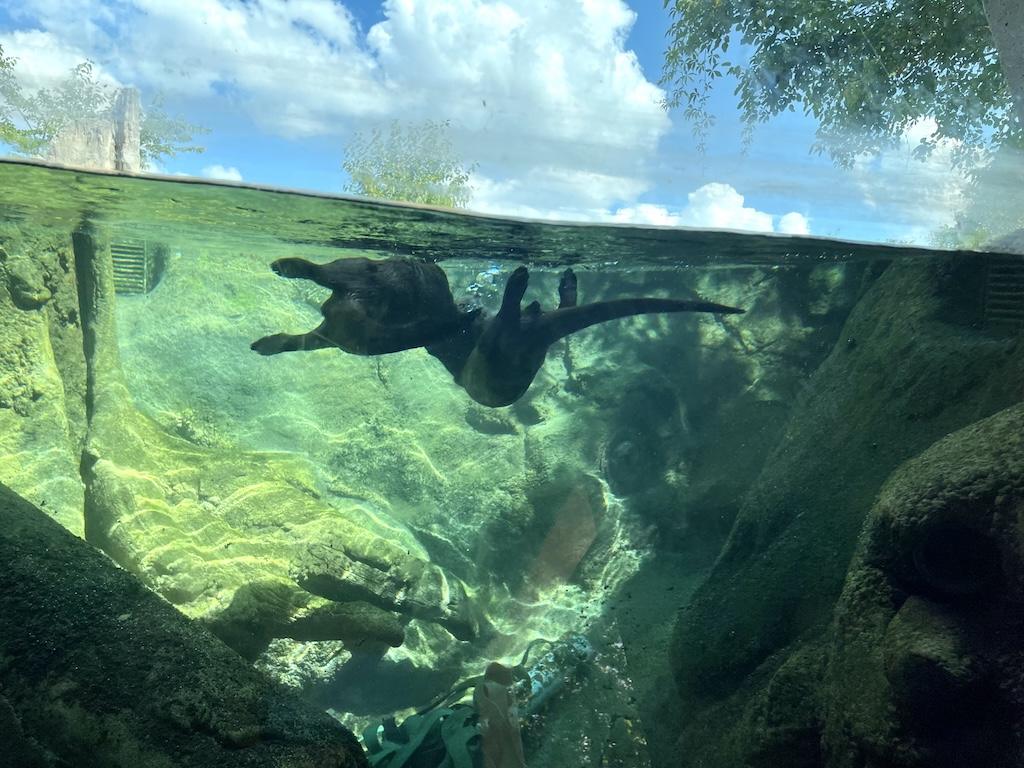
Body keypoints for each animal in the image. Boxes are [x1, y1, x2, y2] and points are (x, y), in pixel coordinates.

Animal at [426, 266, 744, 407]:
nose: (470, 299)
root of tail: (538, 335)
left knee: (516, 316)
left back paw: (538, 282)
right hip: (496, 357)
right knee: (509, 321)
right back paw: (528, 282)